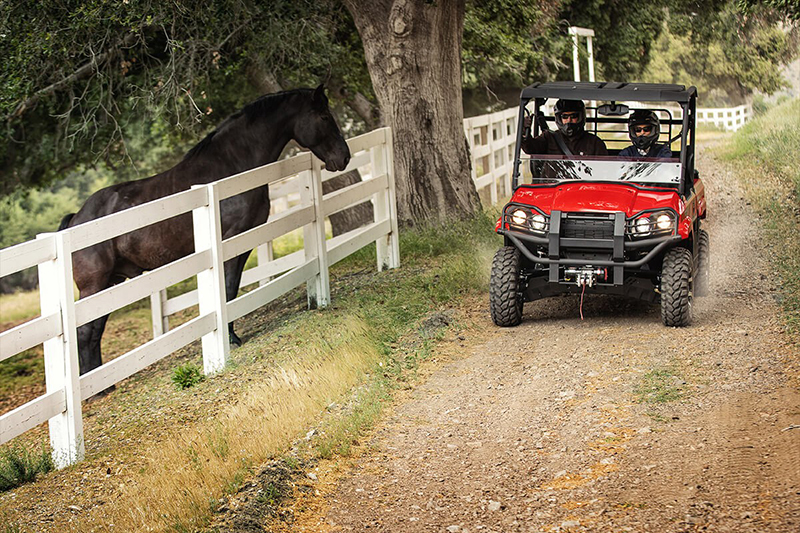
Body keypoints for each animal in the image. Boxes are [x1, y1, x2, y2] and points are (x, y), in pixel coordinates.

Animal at [57, 86, 352, 374]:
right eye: (324, 116)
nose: (344, 157)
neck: (229, 171)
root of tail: (75, 221)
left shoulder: (243, 242)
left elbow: (233, 287)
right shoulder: (228, 240)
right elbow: (227, 288)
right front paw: (231, 339)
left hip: (110, 284)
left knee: (94, 332)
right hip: (94, 286)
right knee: (85, 333)